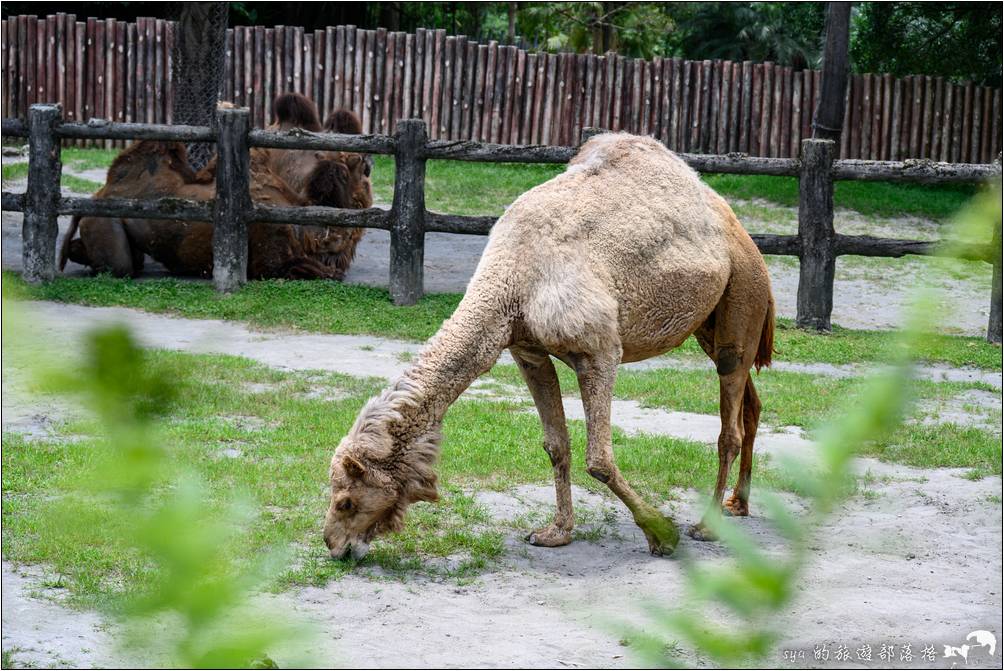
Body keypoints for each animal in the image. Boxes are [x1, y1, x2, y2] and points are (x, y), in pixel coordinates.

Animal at [323, 132, 775, 562]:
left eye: (345, 501)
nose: (334, 547)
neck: (511, 281)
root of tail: (734, 222)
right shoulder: (527, 350)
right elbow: (556, 445)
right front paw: (556, 532)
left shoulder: (599, 350)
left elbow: (599, 458)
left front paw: (662, 534)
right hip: (708, 324)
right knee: (750, 404)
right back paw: (738, 504)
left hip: (744, 293)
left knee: (729, 425)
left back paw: (708, 526)